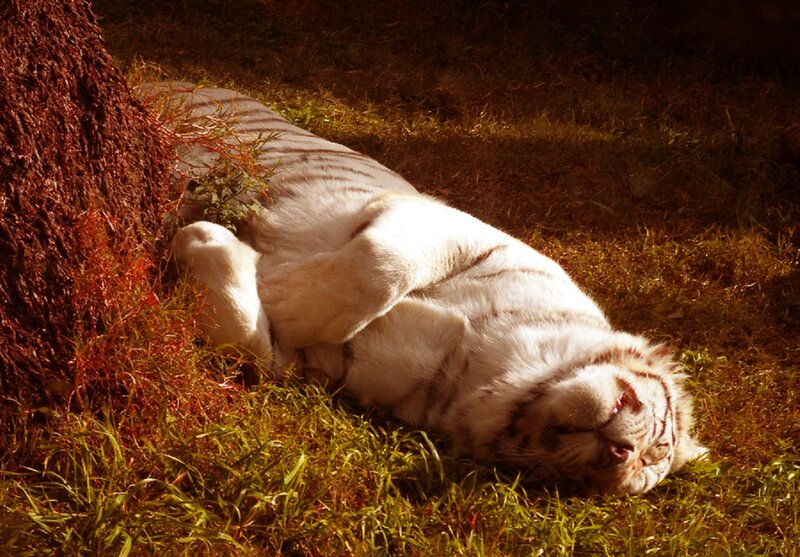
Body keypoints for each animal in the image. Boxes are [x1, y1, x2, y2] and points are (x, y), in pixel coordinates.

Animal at [168, 83, 707, 495]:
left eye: (583, 484)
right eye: (654, 442)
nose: (618, 453)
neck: (498, 368)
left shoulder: (327, 365)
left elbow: (250, 344)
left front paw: (210, 243)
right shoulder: (445, 224)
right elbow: (383, 263)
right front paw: (283, 294)